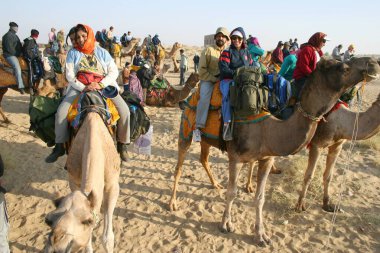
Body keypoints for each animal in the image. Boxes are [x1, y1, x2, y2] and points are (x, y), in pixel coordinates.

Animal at [45, 112, 121, 253]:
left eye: (87, 221)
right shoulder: (74, 181)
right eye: (48, 220)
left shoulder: (113, 185)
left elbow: (107, 239)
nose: (56, 245)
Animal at [169, 56, 380, 246]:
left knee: (204, 158)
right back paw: (173, 203)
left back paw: (215, 184)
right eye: (344, 67)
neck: (268, 128)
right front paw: (225, 225)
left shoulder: (267, 158)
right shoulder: (235, 157)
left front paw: (261, 235)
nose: (373, 63)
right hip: (186, 128)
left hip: (205, 138)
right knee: (179, 165)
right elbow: (232, 192)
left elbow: (260, 198)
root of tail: (191, 96)